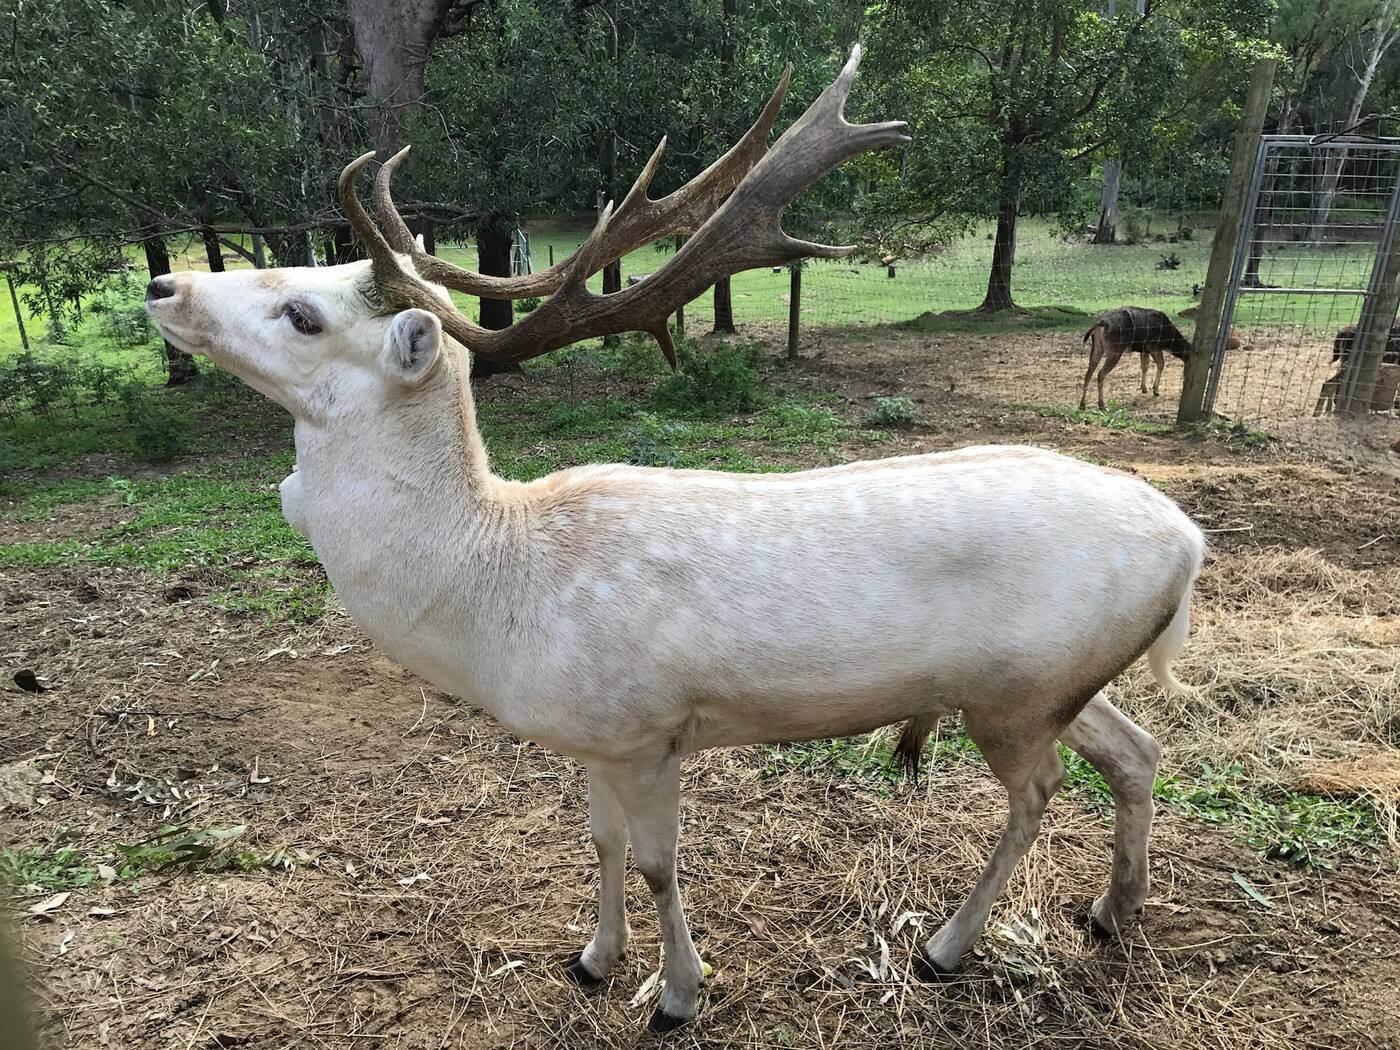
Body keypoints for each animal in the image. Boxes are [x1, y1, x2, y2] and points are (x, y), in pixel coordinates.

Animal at [144, 50, 1206, 1033]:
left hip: (1017, 696)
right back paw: (1114, 909)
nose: (163, 284)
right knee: (1137, 749)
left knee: (1041, 791)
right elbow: (602, 844)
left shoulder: (647, 729)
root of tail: (1191, 543)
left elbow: (659, 863)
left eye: (303, 313)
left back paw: (947, 946)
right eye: (307, 277)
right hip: (1055, 683)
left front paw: (677, 995)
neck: (495, 595)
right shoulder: (591, 737)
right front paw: (593, 959)